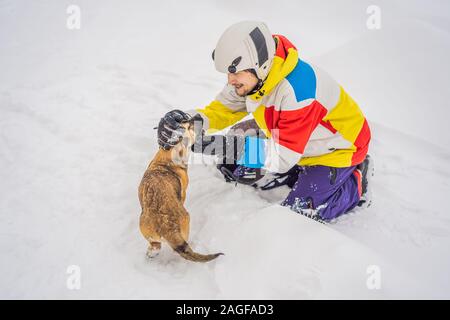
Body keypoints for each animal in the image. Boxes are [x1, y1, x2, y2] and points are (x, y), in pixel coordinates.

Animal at [137, 120, 221, 262]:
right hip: (186, 220)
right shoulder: (183, 192)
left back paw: (151, 253)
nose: (198, 116)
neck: (166, 156)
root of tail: (165, 224)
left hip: (147, 232)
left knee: (155, 246)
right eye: (189, 126)